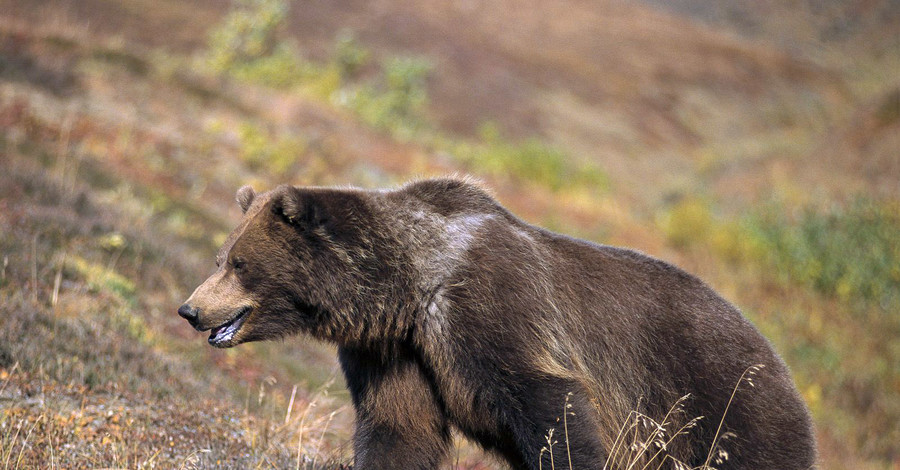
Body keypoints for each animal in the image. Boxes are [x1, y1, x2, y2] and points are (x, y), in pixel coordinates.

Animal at [179, 179, 820, 470]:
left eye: (239, 262)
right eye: (222, 256)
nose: (190, 309)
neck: (409, 285)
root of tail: (782, 365)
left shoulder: (491, 311)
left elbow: (553, 413)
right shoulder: (395, 352)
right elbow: (399, 428)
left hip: (719, 410)